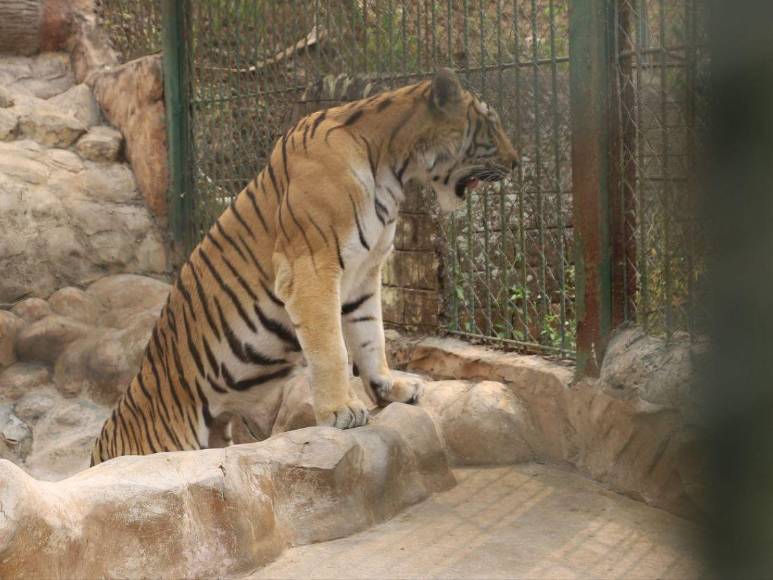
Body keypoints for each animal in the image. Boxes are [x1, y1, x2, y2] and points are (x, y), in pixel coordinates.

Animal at [90, 68, 519, 465]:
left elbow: (371, 337)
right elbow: (332, 349)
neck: (394, 168)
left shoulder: (365, 275)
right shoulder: (311, 269)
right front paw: (341, 411)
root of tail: (102, 442)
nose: (517, 162)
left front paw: (389, 388)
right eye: (493, 124)